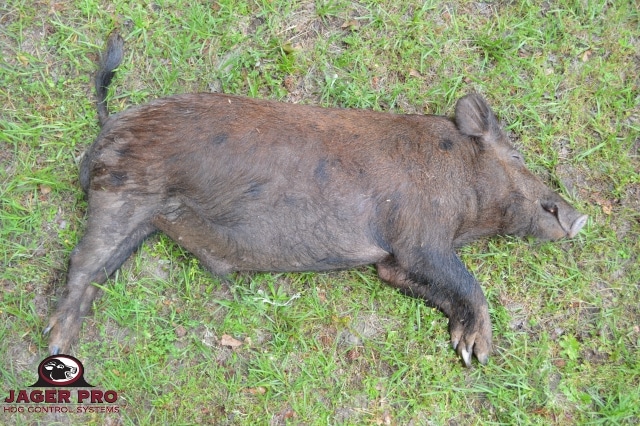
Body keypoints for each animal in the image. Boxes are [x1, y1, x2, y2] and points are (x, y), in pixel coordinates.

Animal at [44, 32, 587, 366]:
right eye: (515, 154)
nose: (579, 217)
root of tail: (114, 123)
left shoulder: (393, 262)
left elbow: (411, 280)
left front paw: (465, 348)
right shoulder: (419, 234)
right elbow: (464, 279)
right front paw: (479, 353)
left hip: (141, 219)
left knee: (98, 273)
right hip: (121, 195)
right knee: (81, 263)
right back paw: (56, 342)